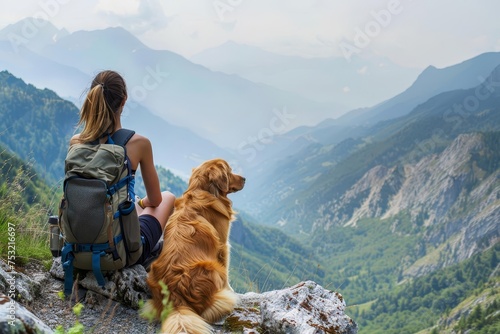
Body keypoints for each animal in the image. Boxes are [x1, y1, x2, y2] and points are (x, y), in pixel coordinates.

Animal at [146, 158, 245, 332]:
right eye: (230, 171)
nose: (245, 179)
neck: (203, 190)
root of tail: (177, 300)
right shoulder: (223, 245)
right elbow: (227, 271)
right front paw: (231, 290)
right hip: (212, 268)